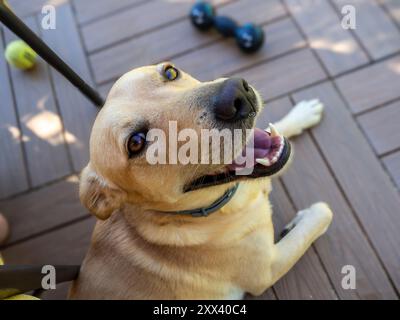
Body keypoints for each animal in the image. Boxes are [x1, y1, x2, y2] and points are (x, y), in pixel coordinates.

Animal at [70, 63, 332, 300]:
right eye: (136, 142)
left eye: (170, 72)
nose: (236, 94)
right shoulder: (268, 269)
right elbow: (322, 213)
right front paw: (304, 217)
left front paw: (301, 114)